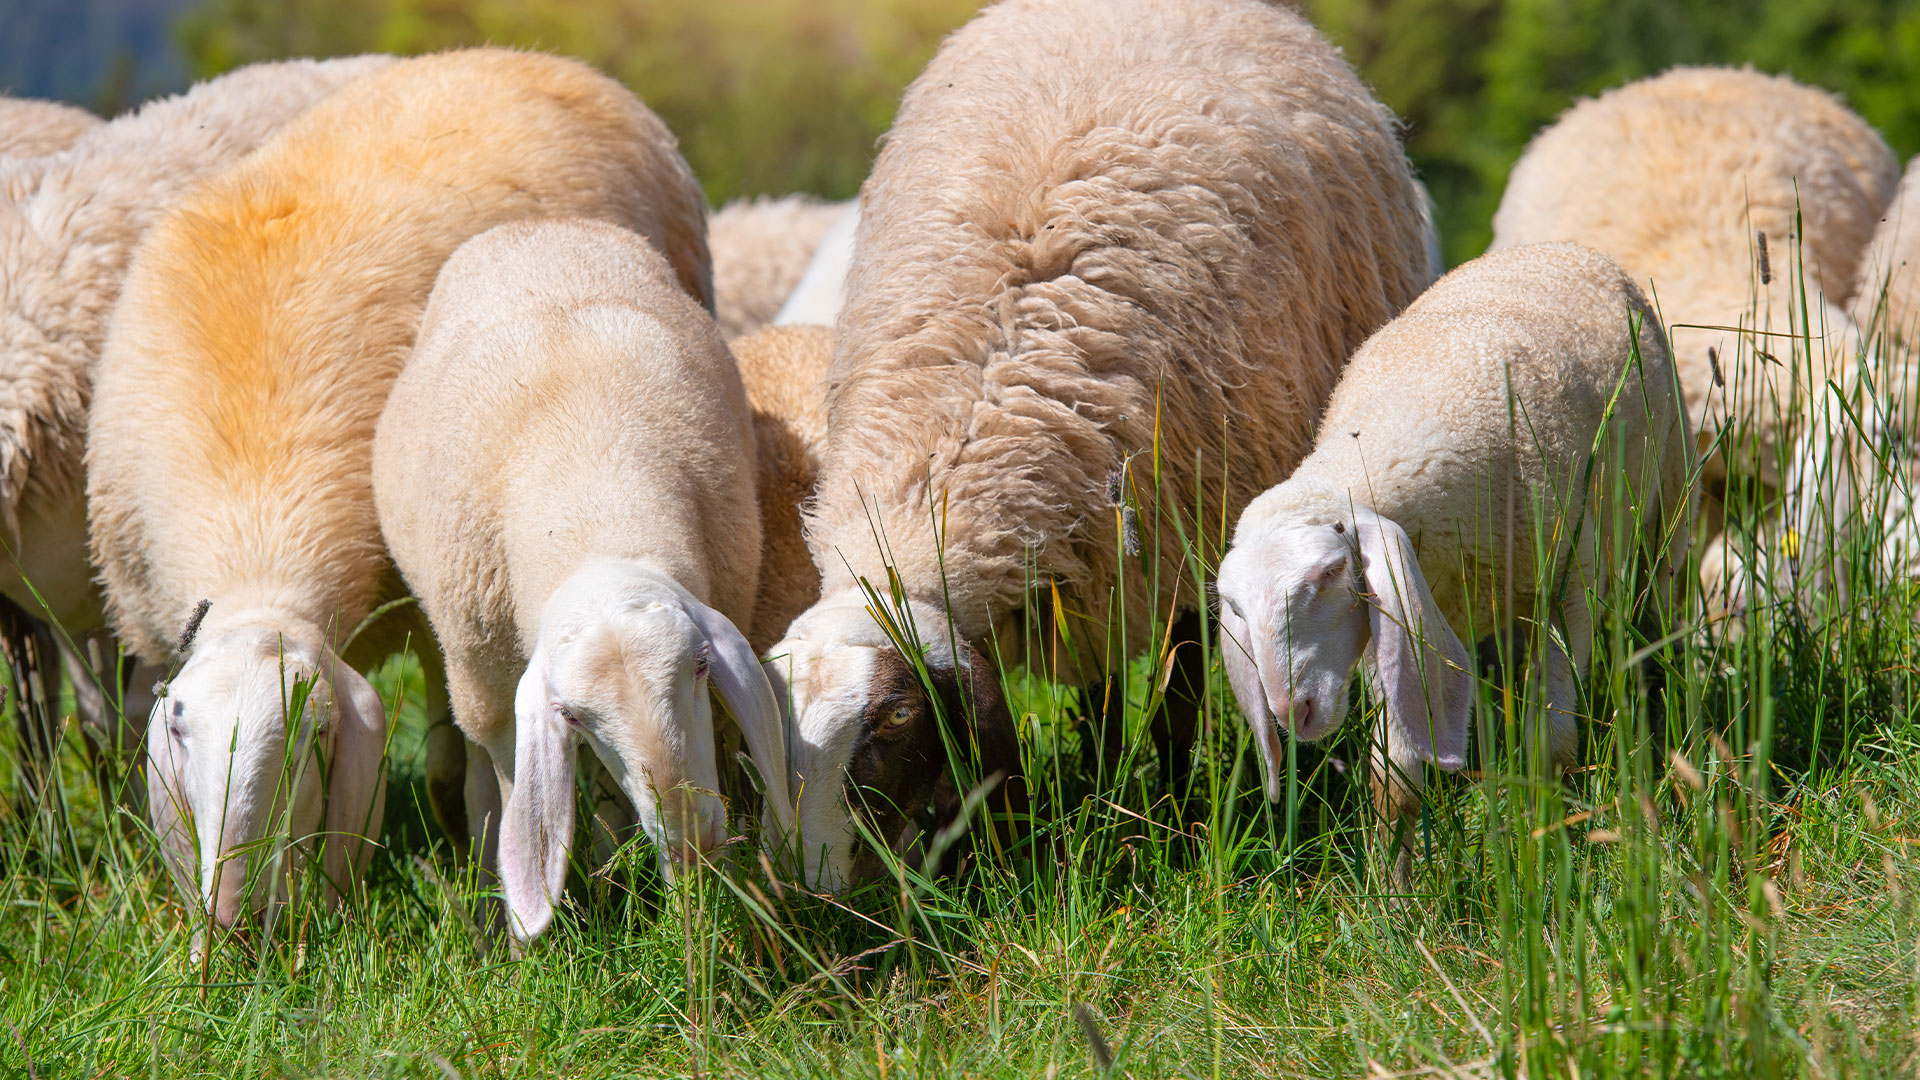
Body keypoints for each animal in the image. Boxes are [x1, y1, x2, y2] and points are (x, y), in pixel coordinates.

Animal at [373, 219, 789, 941]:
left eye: (702, 665)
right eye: (568, 712)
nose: (687, 830)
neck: (592, 505)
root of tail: (535, 227)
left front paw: (688, 911)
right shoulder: (490, 694)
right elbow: (520, 791)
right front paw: (533, 931)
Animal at [763, 0, 1436, 891]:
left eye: (897, 717)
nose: (817, 888)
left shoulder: (1161, 551)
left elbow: (1165, 704)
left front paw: (1164, 817)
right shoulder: (1084, 583)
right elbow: (1101, 705)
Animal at [1216, 241, 1694, 880]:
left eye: (1331, 572)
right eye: (1235, 607)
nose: (1294, 710)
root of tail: (1561, 248)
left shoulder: (1566, 589)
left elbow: (1550, 744)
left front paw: (1551, 850)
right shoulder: (1389, 629)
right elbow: (1394, 779)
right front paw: (1393, 892)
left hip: (1664, 501)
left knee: (1656, 611)